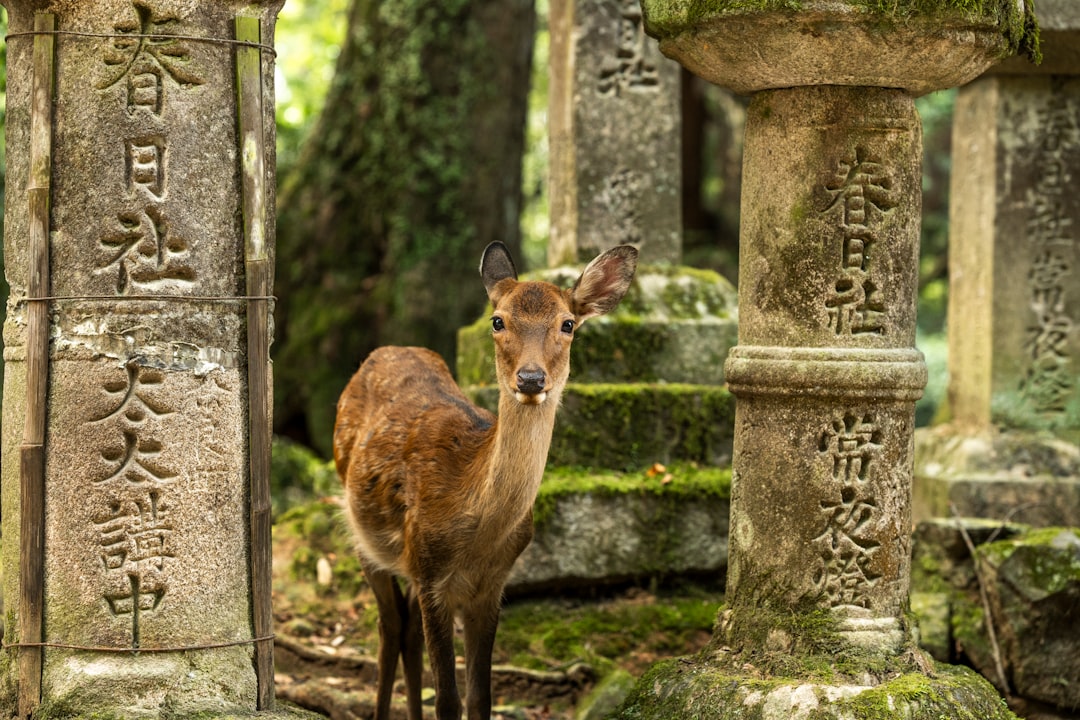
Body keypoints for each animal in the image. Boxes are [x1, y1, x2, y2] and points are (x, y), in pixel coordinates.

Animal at [332, 241, 638, 720]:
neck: (476, 534)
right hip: (361, 531)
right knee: (389, 627)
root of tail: (388, 348)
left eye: (567, 324)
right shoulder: (431, 574)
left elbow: (479, 697)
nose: (530, 378)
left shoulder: (491, 587)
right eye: (498, 320)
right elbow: (448, 698)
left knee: (407, 632)